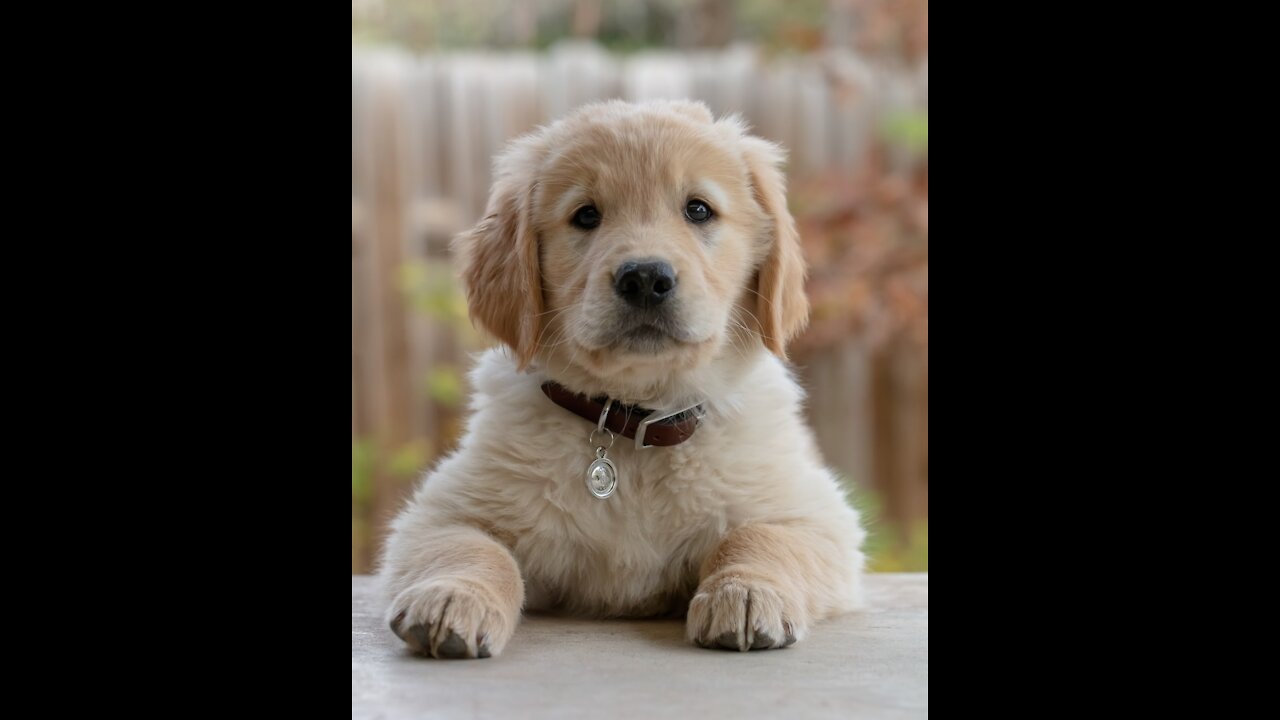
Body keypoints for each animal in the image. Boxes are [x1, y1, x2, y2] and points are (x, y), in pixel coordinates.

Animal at [376, 99, 860, 655]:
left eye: (698, 210)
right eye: (586, 215)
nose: (645, 278)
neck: (634, 423)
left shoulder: (814, 512)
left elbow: (759, 536)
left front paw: (747, 592)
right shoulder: (439, 512)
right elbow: (471, 548)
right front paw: (453, 596)